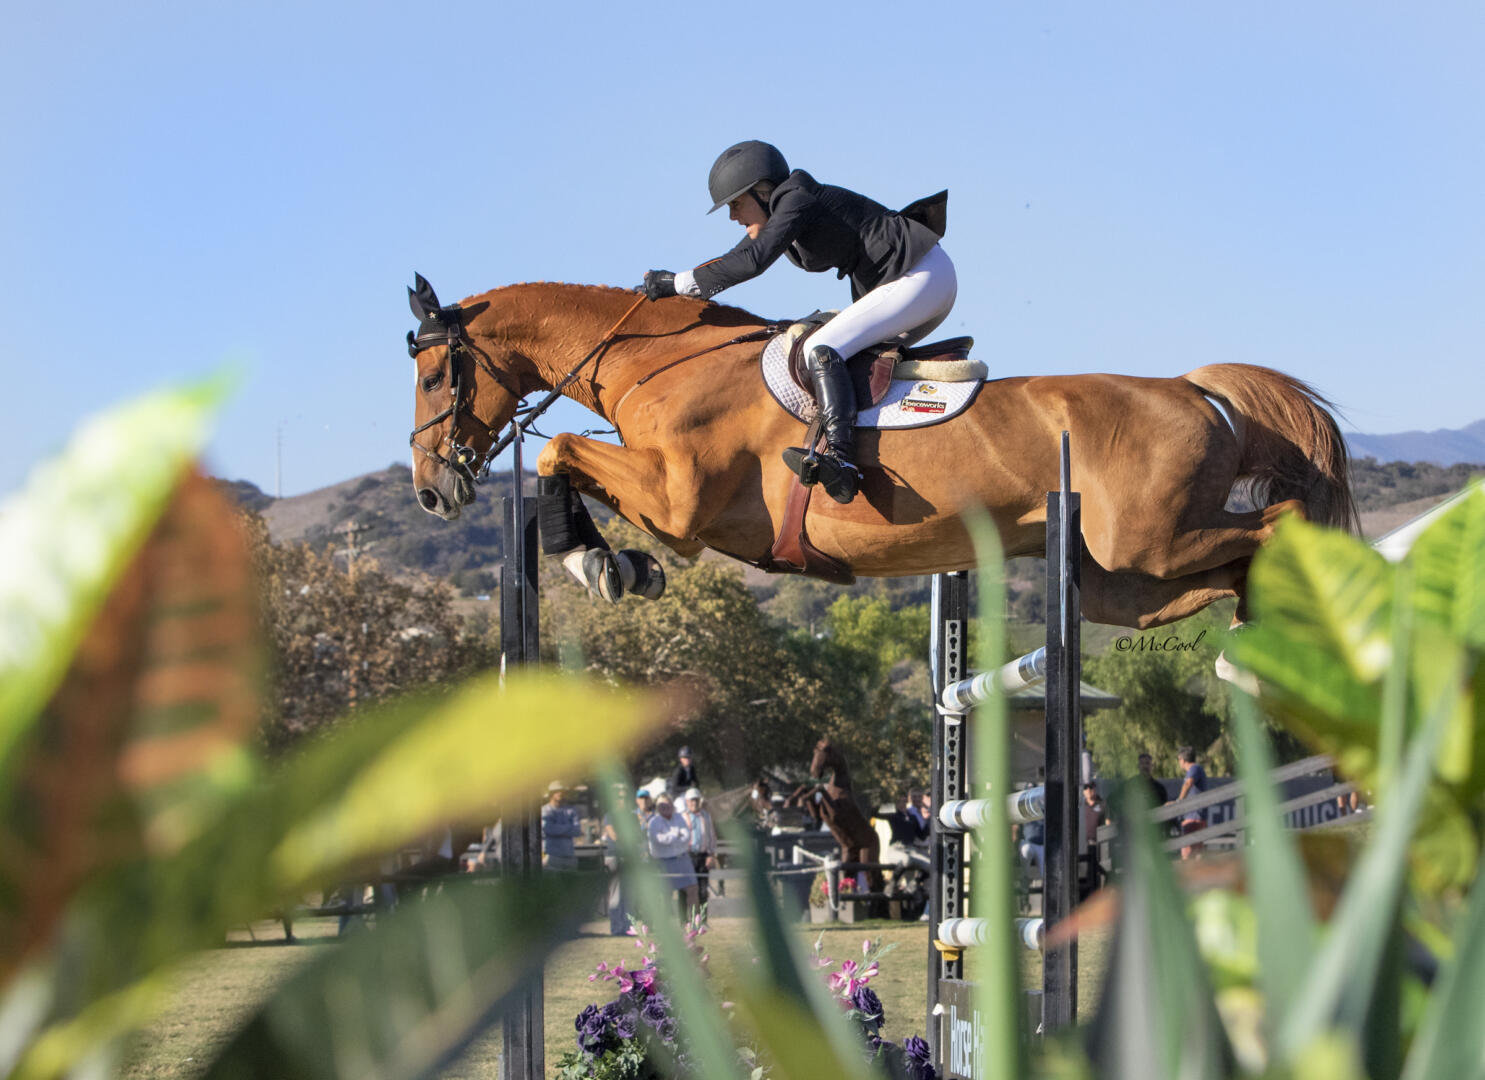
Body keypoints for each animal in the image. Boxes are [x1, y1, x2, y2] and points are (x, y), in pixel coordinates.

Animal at [406, 279, 1360, 632]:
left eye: (430, 375)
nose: (429, 492)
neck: (662, 360)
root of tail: (1192, 390)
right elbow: (566, 457)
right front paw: (614, 566)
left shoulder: (679, 507)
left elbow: (559, 452)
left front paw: (602, 566)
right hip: (1115, 578)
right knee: (1214, 575)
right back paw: (1255, 633)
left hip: (1147, 541)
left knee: (1277, 521)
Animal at [790, 733, 879, 897]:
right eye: (814, 751)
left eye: (825, 750)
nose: (814, 772)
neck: (840, 788)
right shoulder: (822, 815)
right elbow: (816, 795)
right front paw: (801, 798)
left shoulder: (834, 813)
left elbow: (821, 789)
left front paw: (803, 797)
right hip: (851, 860)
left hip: (867, 859)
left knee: (875, 883)